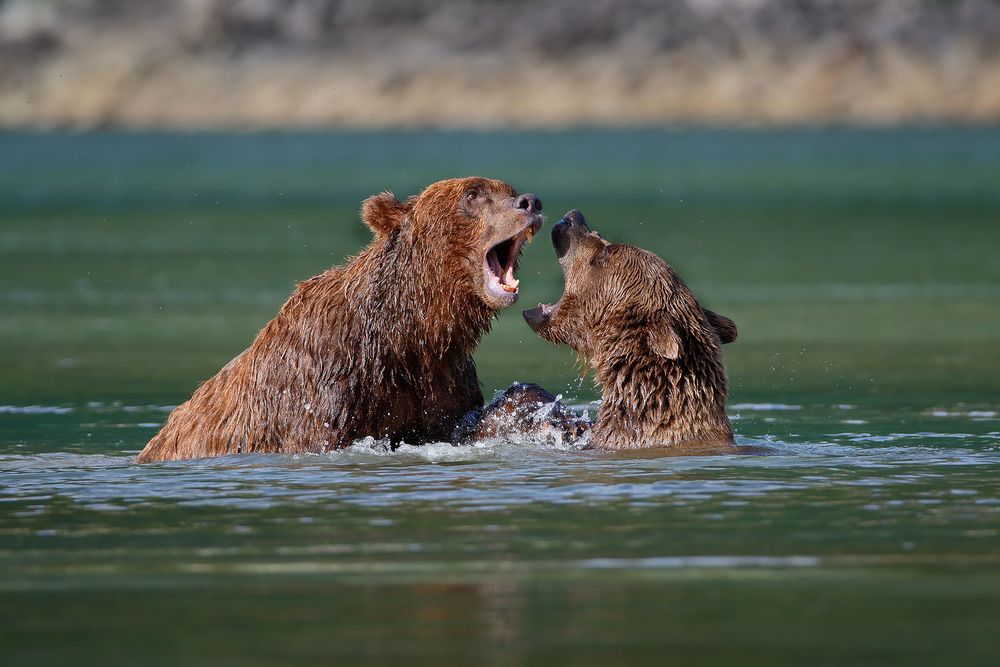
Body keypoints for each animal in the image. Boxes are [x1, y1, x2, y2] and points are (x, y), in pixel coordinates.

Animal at [136, 177, 543, 463]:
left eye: (507, 189)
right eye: (472, 194)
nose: (530, 202)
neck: (407, 334)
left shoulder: (443, 381)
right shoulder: (322, 385)